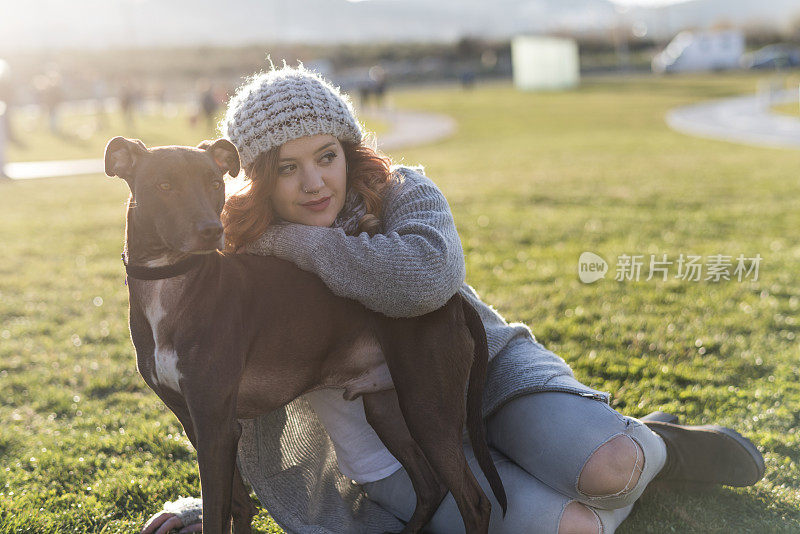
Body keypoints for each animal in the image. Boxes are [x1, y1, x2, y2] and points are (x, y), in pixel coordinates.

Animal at [106, 136, 506, 532]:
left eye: (215, 183)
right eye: (164, 186)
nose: (211, 231)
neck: (171, 283)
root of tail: (453, 298)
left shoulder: (216, 425)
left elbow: (219, 513)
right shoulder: (196, 422)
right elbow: (237, 506)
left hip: (426, 406)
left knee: (474, 501)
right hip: (388, 408)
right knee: (429, 486)